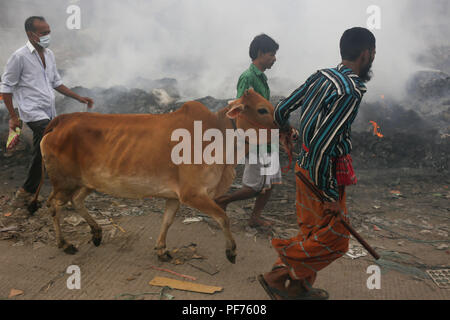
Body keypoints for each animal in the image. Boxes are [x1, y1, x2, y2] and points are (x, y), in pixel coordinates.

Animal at [29, 88, 276, 262]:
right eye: (262, 109)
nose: (280, 129)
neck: (217, 135)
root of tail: (63, 119)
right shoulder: (193, 194)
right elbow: (223, 217)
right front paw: (231, 251)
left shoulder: (174, 197)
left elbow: (167, 221)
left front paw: (161, 250)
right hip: (64, 182)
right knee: (54, 205)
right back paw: (65, 244)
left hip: (88, 182)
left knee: (77, 200)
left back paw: (97, 233)